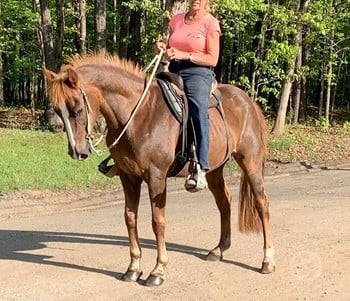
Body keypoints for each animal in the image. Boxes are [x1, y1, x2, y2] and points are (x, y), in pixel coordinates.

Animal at [41, 53, 276, 286]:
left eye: (77, 109)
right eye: (57, 110)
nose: (77, 151)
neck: (138, 115)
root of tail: (248, 102)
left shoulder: (156, 177)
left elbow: (158, 222)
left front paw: (158, 270)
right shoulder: (128, 177)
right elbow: (130, 218)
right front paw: (133, 268)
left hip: (251, 163)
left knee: (262, 204)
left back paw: (267, 261)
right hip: (214, 170)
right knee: (224, 202)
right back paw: (218, 250)